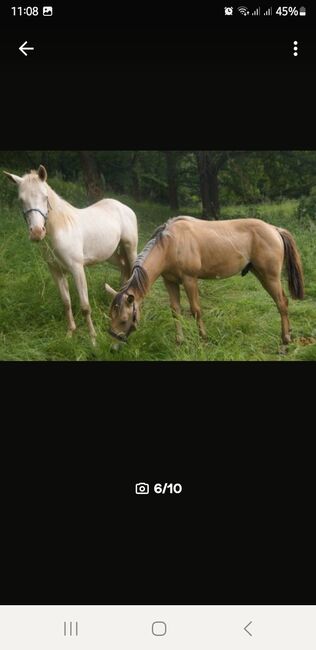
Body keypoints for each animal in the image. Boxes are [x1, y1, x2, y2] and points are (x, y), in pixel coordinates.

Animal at [3, 165, 137, 342]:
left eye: (45, 197)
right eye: (21, 200)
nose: (37, 233)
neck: (61, 228)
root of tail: (124, 207)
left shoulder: (77, 269)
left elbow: (85, 306)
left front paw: (93, 339)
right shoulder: (56, 271)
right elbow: (66, 302)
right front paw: (69, 333)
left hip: (130, 248)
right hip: (111, 254)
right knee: (123, 267)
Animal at [106, 215, 304, 344]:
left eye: (124, 319)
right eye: (111, 314)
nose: (114, 337)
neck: (170, 244)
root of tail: (274, 229)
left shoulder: (189, 280)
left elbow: (196, 310)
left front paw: (203, 338)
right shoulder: (170, 282)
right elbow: (175, 311)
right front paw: (179, 341)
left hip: (270, 276)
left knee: (282, 303)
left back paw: (286, 338)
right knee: (283, 302)